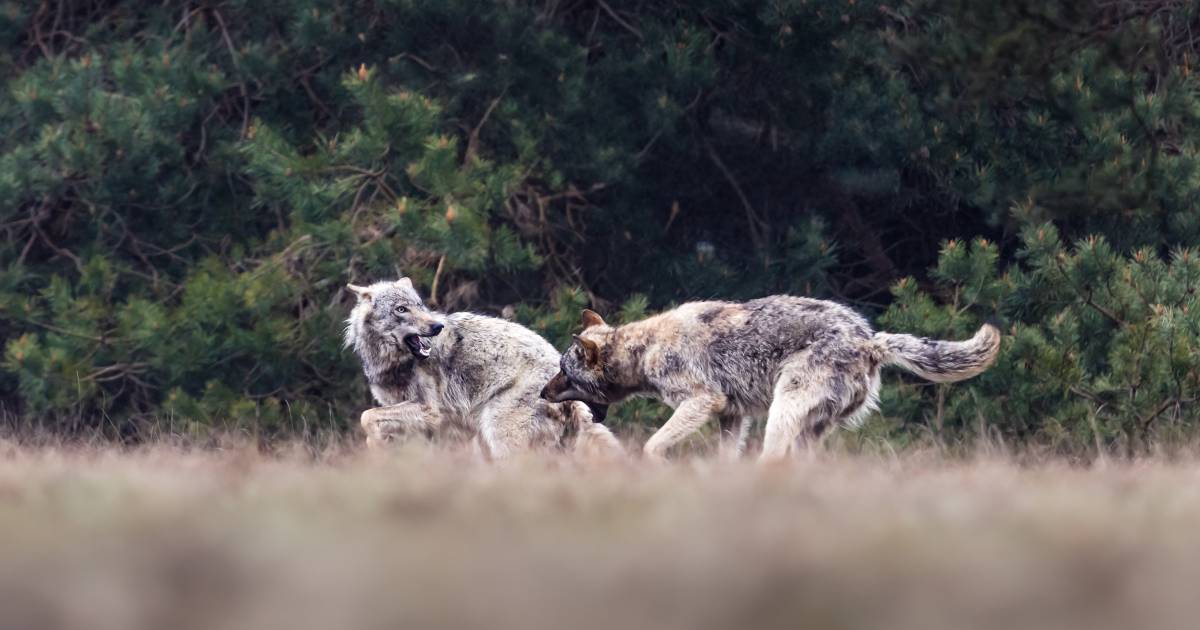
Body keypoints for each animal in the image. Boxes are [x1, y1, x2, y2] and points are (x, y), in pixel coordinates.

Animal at [340, 277, 614, 458]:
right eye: (401, 309)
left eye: (420, 305)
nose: (436, 327)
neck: (395, 362)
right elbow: (373, 422)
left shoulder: (430, 411)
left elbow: (366, 416)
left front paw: (376, 444)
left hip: (499, 437)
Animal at [540, 295, 998, 460]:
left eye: (564, 372)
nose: (542, 393)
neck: (644, 348)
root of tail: (870, 340)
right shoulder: (731, 417)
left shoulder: (701, 403)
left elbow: (653, 445)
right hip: (808, 429)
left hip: (783, 411)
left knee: (772, 459)